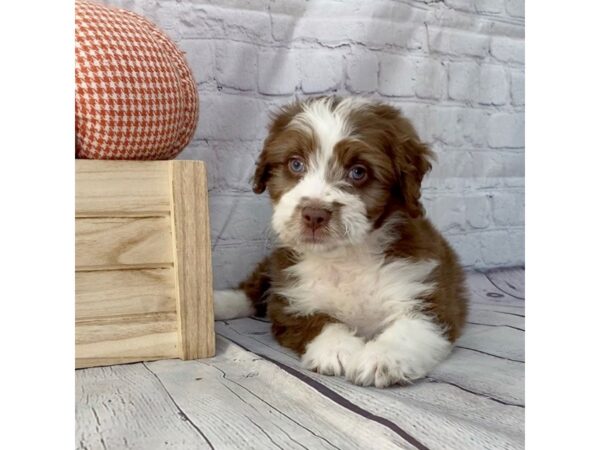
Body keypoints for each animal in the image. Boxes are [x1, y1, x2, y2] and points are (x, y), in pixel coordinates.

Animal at [216, 97, 468, 386]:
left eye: (358, 172)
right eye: (295, 164)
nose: (314, 214)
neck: (345, 256)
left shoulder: (428, 294)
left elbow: (413, 327)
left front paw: (382, 358)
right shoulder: (290, 299)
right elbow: (321, 322)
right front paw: (337, 350)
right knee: (252, 288)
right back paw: (217, 303)